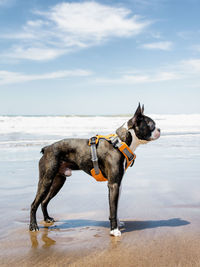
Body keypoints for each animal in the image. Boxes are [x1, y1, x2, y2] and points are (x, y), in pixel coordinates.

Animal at [29, 104, 160, 237]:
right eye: (151, 125)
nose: (159, 129)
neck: (121, 142)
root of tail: (47, 148)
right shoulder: (113, 185)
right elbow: (113, 209)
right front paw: (114, 230)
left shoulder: (119, 184)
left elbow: (116, 207)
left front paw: (118, 224)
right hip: (46, 180)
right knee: (34, 203)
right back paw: (33, 226)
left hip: (58, 181)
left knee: (44, 201)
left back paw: (47, 219)